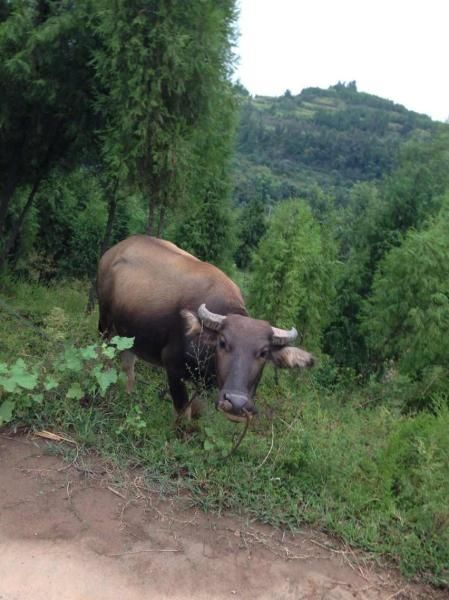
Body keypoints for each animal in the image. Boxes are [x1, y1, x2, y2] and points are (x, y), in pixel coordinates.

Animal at [96, 236, 314, 422]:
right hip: (105, 321)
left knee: (128, 363)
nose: (236, 403)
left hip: (129, 335)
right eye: (223, 342)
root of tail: (113, 252)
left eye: (264, 352)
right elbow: (183, 412)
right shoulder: (173, 368)